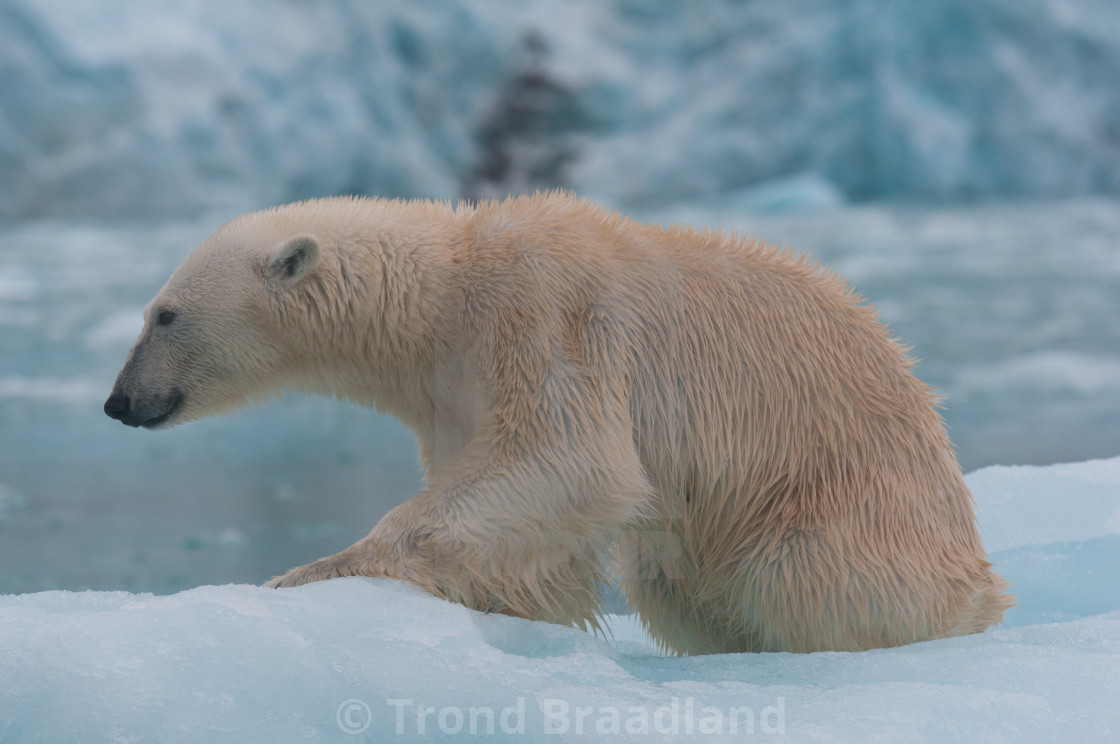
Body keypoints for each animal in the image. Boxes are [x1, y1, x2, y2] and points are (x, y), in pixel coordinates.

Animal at [106, 194, 1016, 654]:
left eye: (164, 315)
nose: (118, 402)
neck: (447, 289)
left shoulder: (543, 313)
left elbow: (569, 460)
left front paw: (311, 571)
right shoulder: (453, 388)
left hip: (845, 498)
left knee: (801, 575)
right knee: (675, 580)